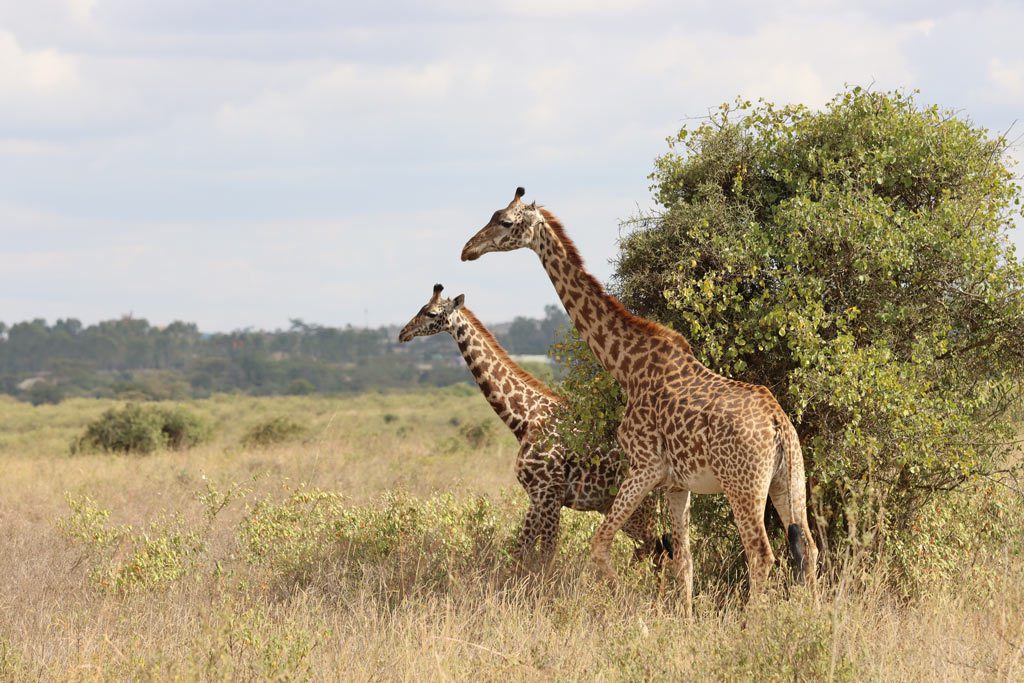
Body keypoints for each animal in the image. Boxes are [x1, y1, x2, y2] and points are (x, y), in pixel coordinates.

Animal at [397, 282, 671, 573]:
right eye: (422, 308)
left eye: (430, 313)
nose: (403, 333)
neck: (524, 419)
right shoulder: (536, 496)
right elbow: (521, 551)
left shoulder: (550, 494)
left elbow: (545, 554)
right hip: (618, 507)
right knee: (654, 550)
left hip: (640, 508)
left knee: (654, 549)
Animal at [462, 188, 815, 614]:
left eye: (506, 222)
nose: (467, 249)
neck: (627, 368)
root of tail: (779, 424)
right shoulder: (676, 483)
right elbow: (684, 558)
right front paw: (685, 618)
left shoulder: (645, 465)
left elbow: (601, 544)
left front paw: (629, 606)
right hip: (788, 480)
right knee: (809, 545)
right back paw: (818, 615)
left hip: (743, 484)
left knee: (761, 552)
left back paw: (753, 621)